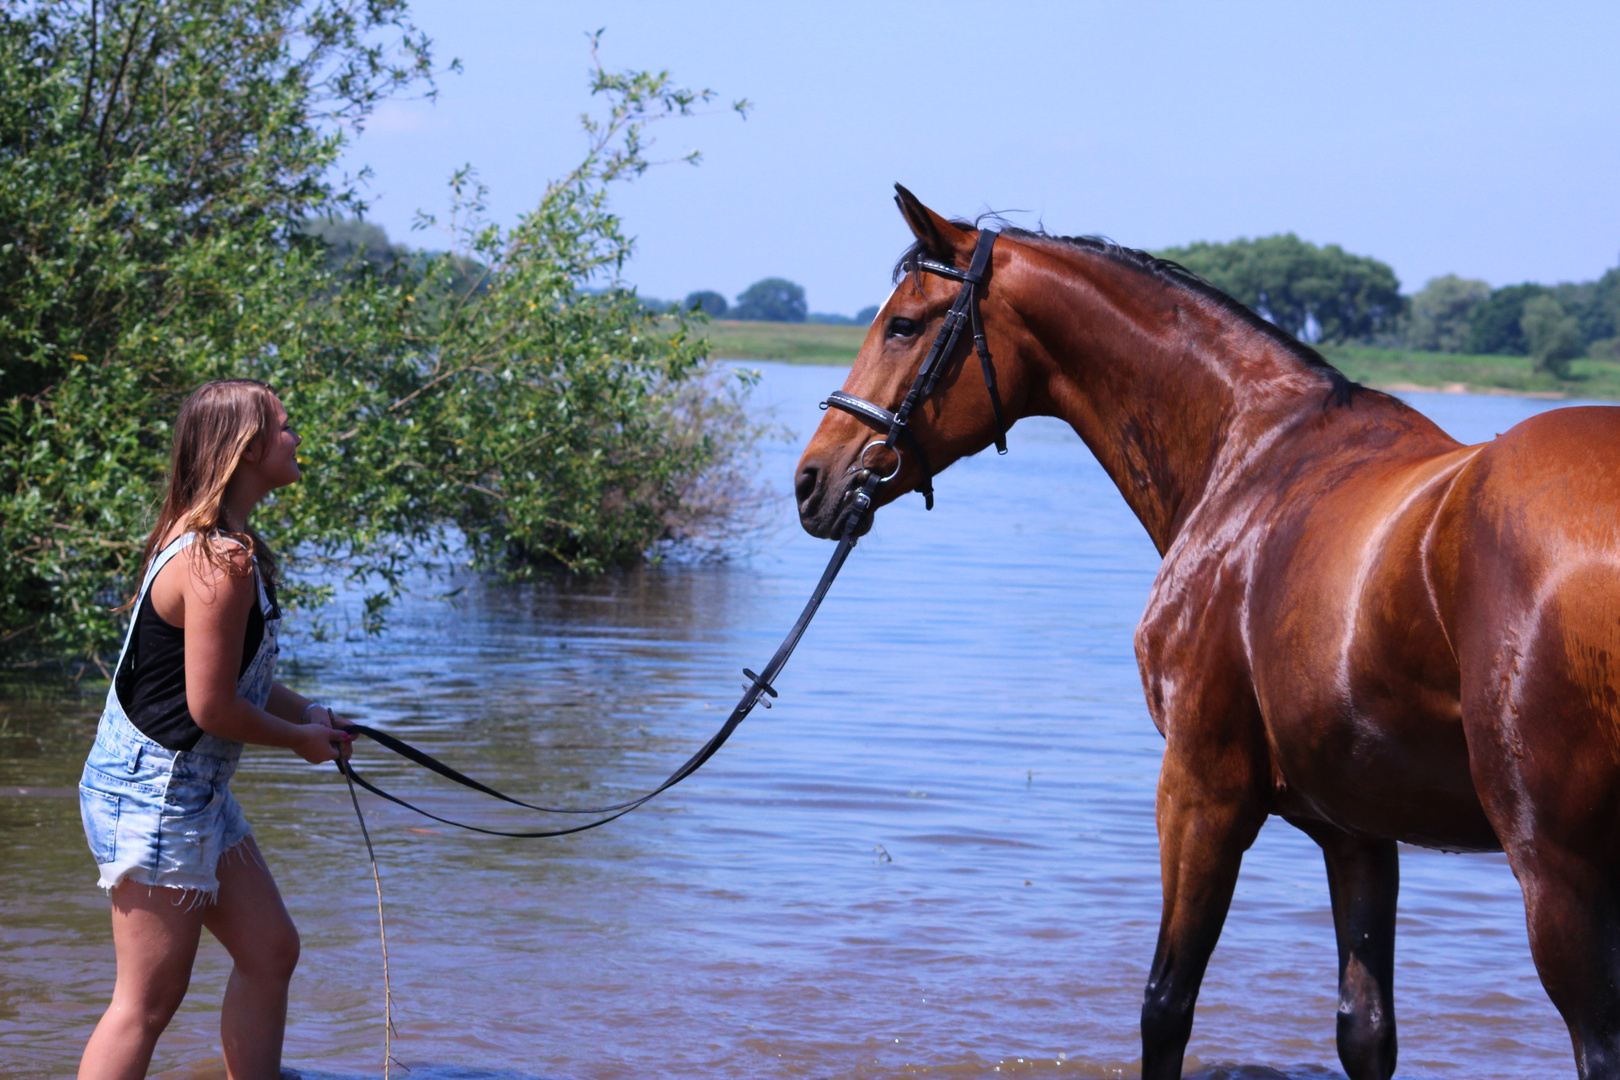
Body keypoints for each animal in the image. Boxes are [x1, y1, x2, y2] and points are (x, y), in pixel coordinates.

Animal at [793, 186, 1620, 1080]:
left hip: (1558, 870)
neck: (1249, 456)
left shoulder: (1199, 789)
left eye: (904, 325)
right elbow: (1365, 1030)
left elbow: (1166, 1006)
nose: (811, 480)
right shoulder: (1357, 831)